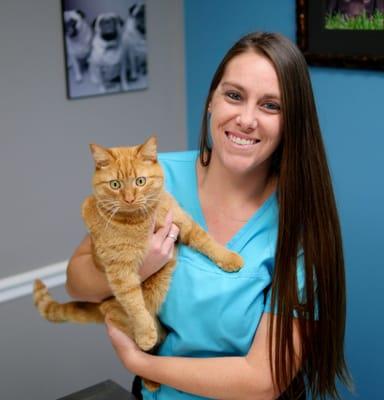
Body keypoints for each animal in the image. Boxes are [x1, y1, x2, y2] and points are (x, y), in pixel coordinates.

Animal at [33, 138, 243, 390]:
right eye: (115, 184)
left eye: (140, 181)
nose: (129, 198)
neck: (140, 219)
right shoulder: (121, 271)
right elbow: (135, 303)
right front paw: (145, 333)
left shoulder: (182, 223)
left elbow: (206, 240)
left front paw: (229, 258)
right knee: (142, 356)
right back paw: (151, 378)